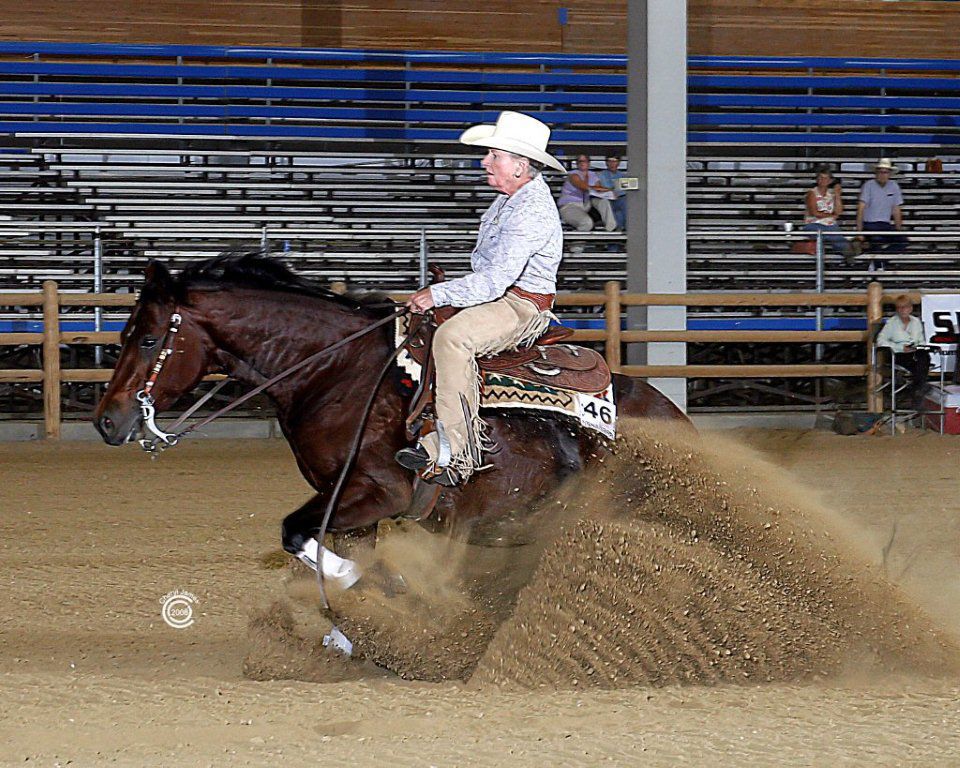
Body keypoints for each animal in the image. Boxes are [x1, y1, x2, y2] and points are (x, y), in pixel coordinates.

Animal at [94, 252, 689, 570]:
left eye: (148, 340)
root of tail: (674, 419)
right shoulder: (345, 503)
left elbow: (294, 533)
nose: (106, 419)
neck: (338, 373)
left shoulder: (381, 492)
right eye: (123, 336)